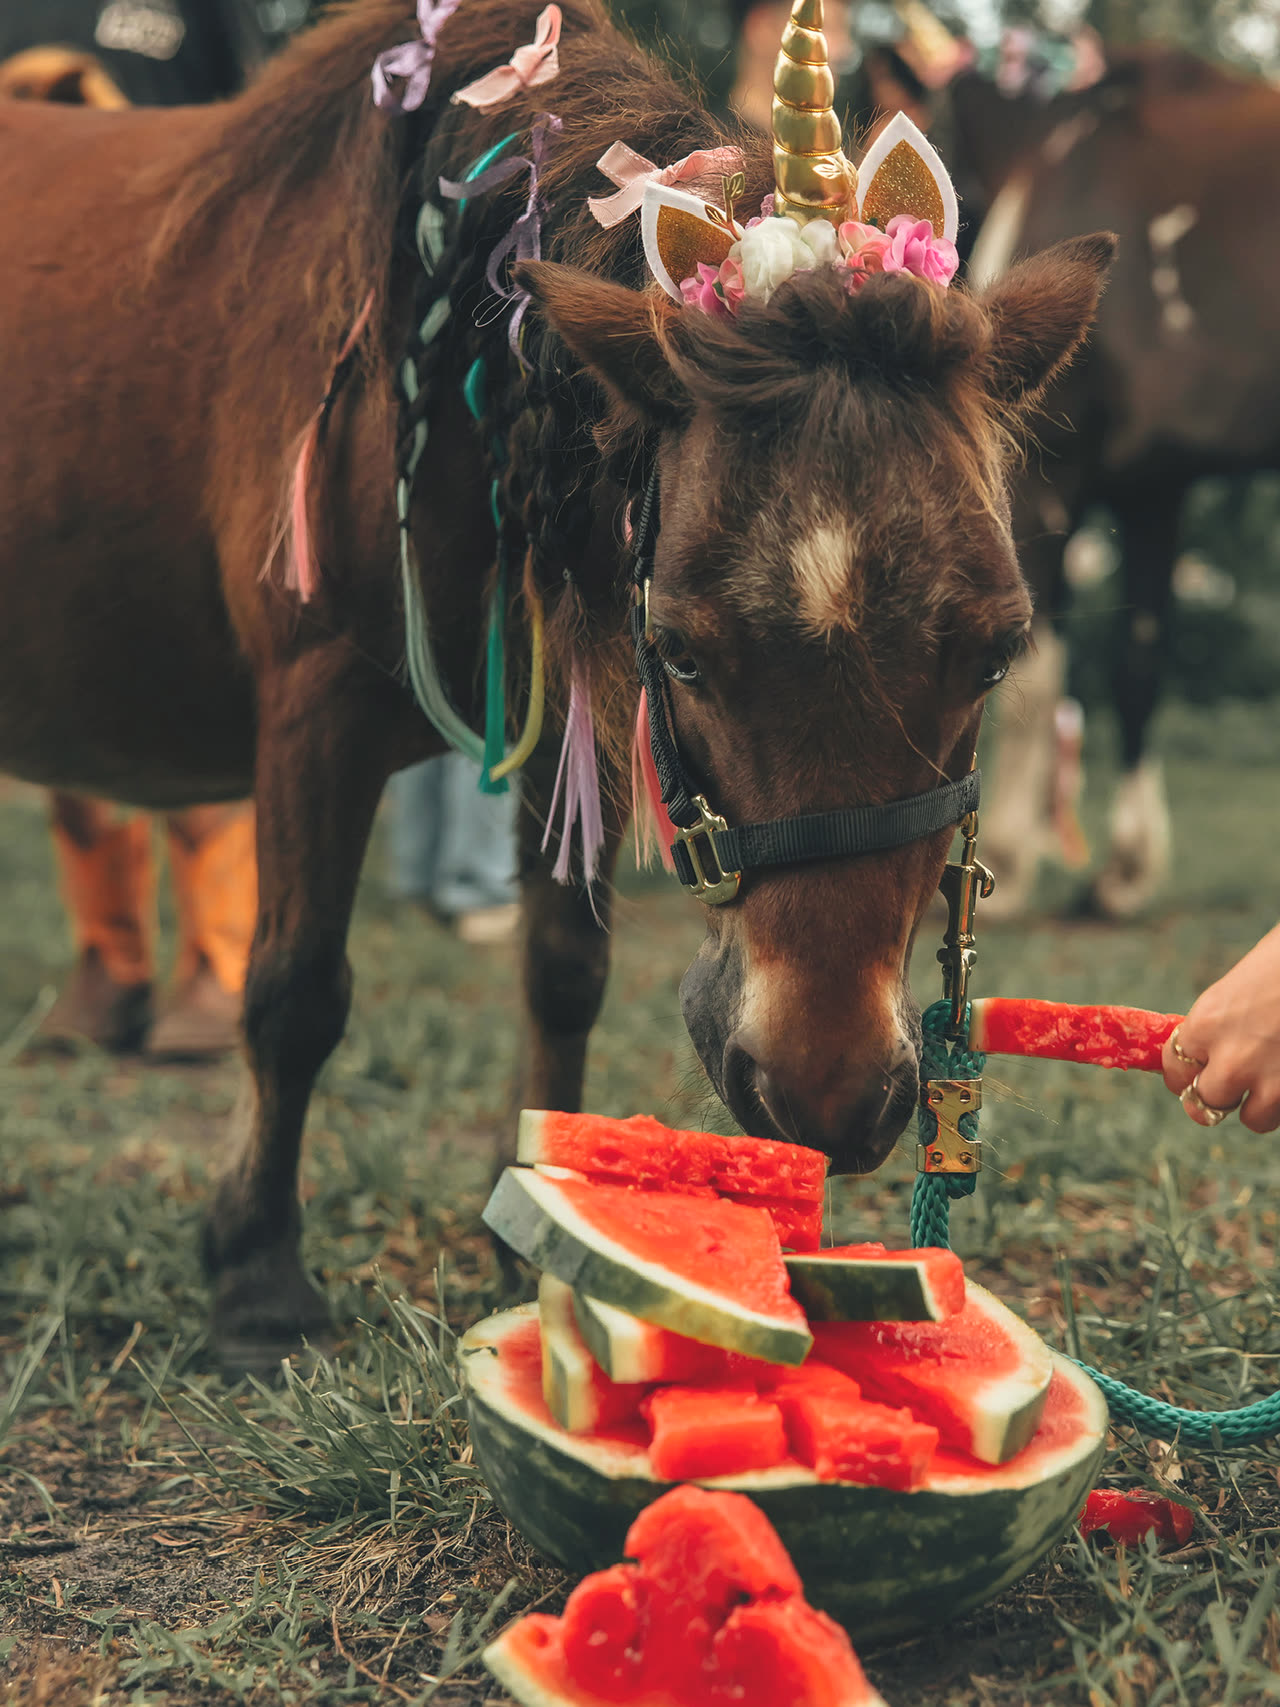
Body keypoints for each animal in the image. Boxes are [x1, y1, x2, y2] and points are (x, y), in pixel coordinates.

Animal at [0, 0, 1112, 1371]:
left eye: (994, 652)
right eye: (683, 648)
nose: (827, 1093)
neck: (442, 349)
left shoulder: (565, 709)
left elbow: (562, 973)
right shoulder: (312, 706)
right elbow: (295, 989)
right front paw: (255, 1275)